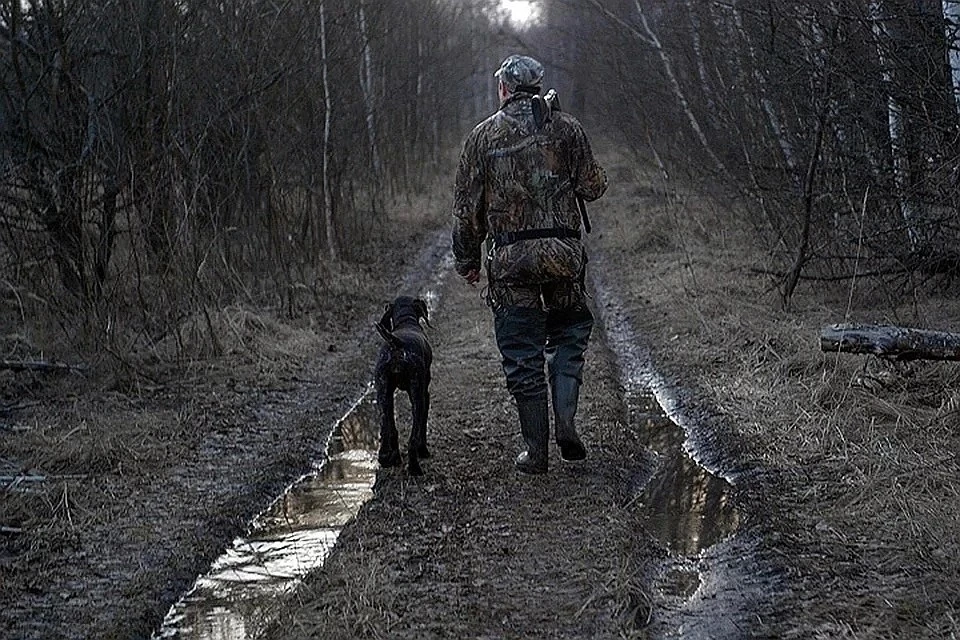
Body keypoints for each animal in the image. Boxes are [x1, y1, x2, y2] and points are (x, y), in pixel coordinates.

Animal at [374, 296, 434, 476]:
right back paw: (415, 467)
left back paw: (388, 458)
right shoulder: (425, 395)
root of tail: (397, 343)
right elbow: (422, 427)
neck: (406, 321)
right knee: (413, 438)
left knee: (388, 429)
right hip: (417, 395)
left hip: (383, 394)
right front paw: (423, 451)